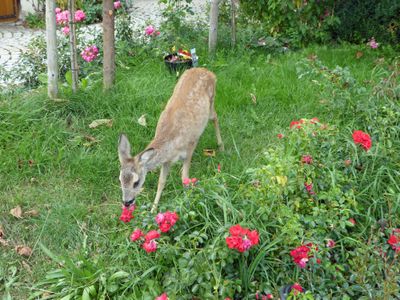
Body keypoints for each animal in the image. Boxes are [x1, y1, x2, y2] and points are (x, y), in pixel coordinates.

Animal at [119, 68, 223, 213]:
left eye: (136, 182)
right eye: (120, 180)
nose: (127, 202)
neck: (171, 141)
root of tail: (207, 70)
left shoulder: (190, 147)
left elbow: (184, 178)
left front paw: (187, 202)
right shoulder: (167, 160)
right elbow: (161, 182)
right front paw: (153, 209)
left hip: (211, 101)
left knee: (215, 117)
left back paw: (221, 146)